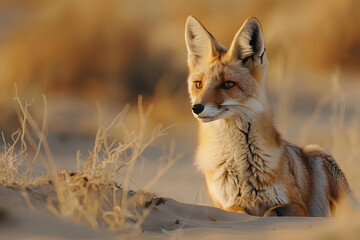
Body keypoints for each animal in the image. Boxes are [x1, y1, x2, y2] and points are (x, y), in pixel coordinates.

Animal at [186, 15, 358, 217]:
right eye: (198, 84)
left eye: (228, 84)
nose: (196, 107)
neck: (242, 168)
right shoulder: (225, 205)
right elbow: (239, 212)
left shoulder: (297, 206)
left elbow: (271, 212)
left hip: (317, 153)